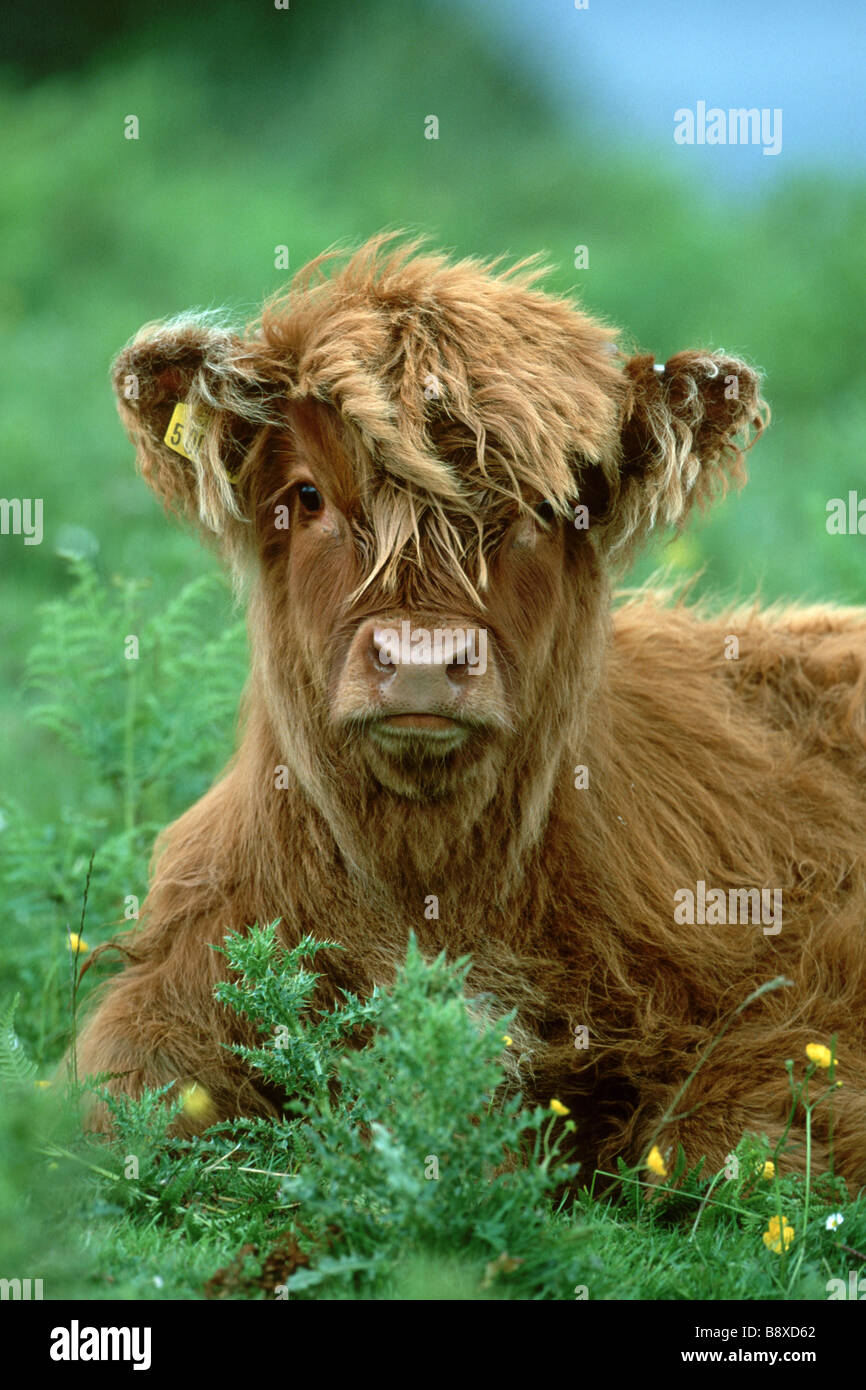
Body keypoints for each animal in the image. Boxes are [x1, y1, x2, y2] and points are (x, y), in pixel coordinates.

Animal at [76, 233, 866, 1189]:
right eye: (307, 495)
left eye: (544, 508)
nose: (422, 662)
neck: (431, 885)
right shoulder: (175, 983)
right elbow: (131, 1101)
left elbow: (724, 1140)